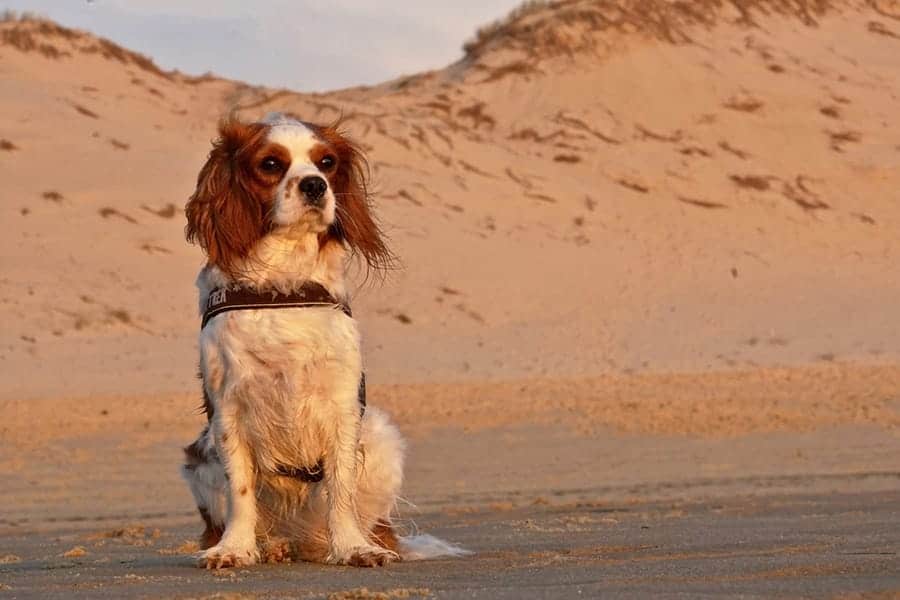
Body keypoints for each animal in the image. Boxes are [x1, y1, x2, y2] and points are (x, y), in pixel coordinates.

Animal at [181, 111, 464, 568]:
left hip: (381, 436)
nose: (315, 185)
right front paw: (235, 549)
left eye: (327, 162)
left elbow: (340, 490)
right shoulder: (227, 409)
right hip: (198, 458)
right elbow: (241, 490)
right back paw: (271, 546)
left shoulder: (342, 405)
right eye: (271, 164)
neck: (284, 284)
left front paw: (352, 547)